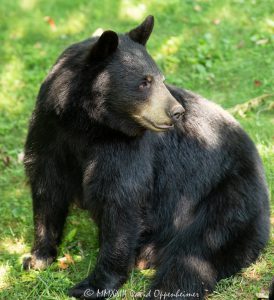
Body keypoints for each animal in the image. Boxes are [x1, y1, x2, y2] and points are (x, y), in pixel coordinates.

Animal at [24, 15, 270, 298]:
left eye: (161, 79)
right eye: (144, 82)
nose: (176, 112)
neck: (86, 125)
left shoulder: (124, 148)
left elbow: (121, 200)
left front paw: (93, 284)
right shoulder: (49, 132)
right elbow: (47, 188)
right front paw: (38, 258)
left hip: (227, 198)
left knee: (198, 251)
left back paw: (164, 283)